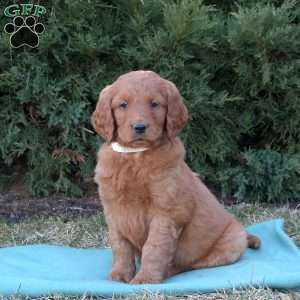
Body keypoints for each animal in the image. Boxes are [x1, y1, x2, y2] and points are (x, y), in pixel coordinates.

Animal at [91, 70, 260, 284]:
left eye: (154, 104)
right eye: (123, 105)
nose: (140, 127)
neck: (136, 157)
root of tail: (243, 234)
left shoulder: (166, 212)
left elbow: (154, 247)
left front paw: (146, 278)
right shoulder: (113, 210)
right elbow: (120, 245)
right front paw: (119, 275)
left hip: (230, 242)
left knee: (191, 264)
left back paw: (169, 270)